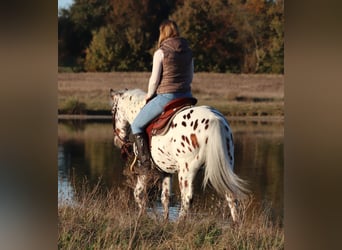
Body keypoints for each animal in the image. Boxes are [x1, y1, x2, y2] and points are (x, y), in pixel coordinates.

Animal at [110, 89, 248, 222]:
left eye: (113, 111)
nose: (117, 141)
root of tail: (215, 120)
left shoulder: (144, 169)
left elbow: (138, 193)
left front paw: (141, 217)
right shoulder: (166, 171)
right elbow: (165, 198)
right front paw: (165, 221)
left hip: (186, 171)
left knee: (187, 198)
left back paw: (180, 223)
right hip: (225, 165)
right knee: (230, 195)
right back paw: (236, 224)